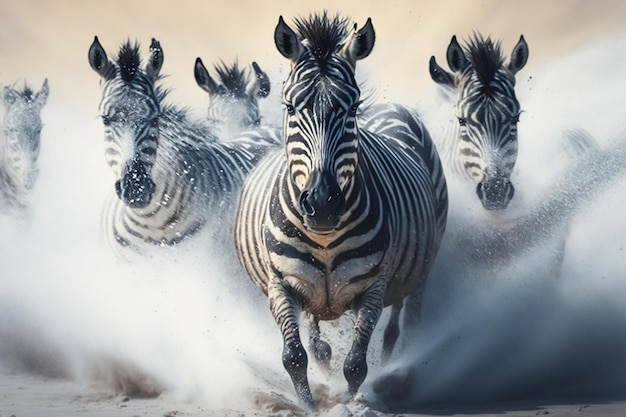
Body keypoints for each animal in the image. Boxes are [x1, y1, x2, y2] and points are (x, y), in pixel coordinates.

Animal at [233, 13, 444, 410]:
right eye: (290, 108)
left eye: (353, 108)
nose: (323, 204)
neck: (324, 237)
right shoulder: (280, 283)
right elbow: (295, 356)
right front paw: (308, 405)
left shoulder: (374, 286)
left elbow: (356, 364)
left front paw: (350, 403)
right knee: (318, 339)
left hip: (424, 257)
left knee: (404, 320)